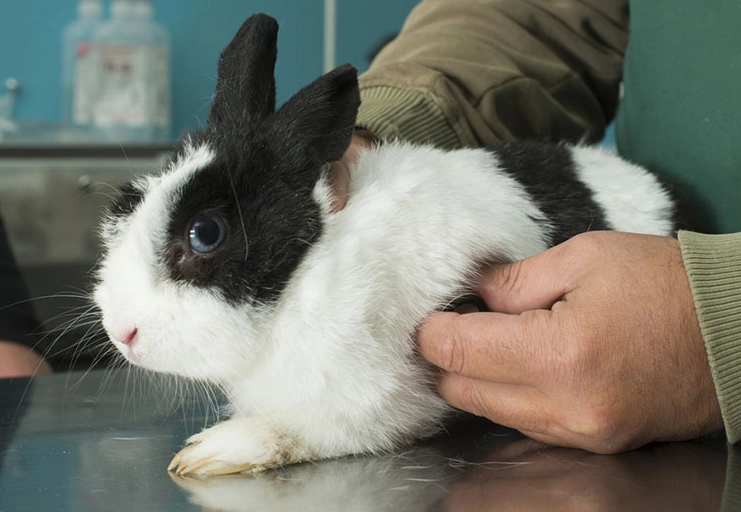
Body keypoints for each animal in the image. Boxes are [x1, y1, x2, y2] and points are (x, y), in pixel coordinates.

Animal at [93, 13, 678, 477]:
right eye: (129, 198)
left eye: (205, 233)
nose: (122, 334)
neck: (309, 277)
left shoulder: (374, 402)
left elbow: (310, 433)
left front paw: (213, 452)